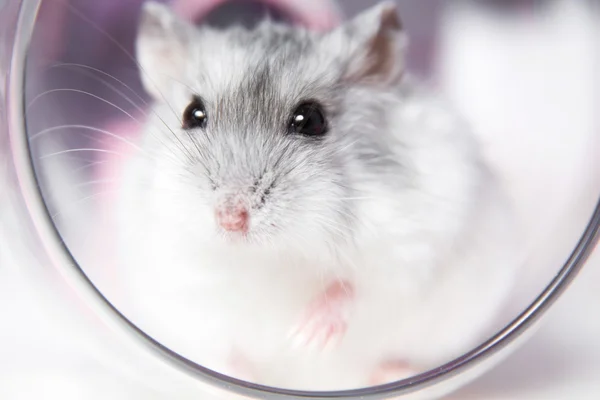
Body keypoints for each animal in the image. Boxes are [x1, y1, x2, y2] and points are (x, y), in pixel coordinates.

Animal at [115, 0, 524, 390]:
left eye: (310, 120)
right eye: (192, 114)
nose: (230, 218)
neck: (273, 255)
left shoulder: (413, 244)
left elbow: (355, 285)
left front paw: (306, 336)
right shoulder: (177, 272)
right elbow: (219, 330)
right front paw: (247, 367)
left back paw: (389, 375)